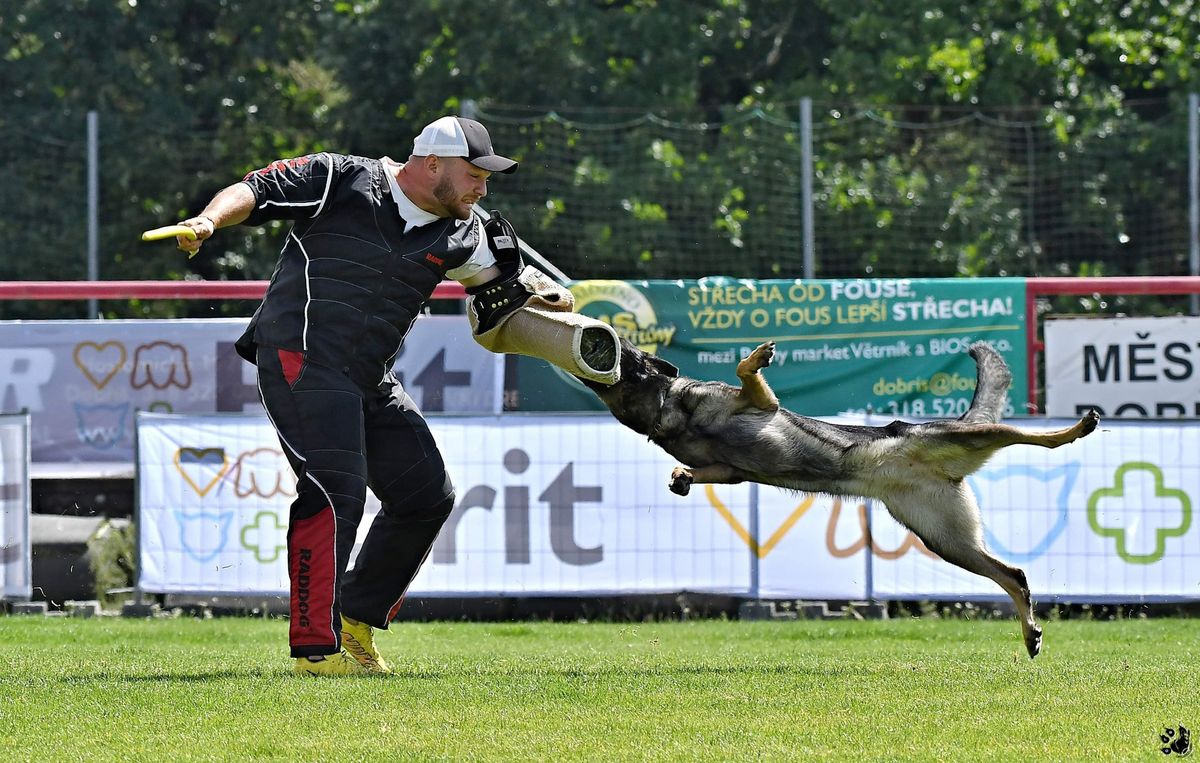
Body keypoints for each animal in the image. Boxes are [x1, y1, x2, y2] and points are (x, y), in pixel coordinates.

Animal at [580, 335, 1099, 657]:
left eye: (630, 352)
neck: (669, 410)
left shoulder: (761, 405)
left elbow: (745, 370)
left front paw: (757, 356)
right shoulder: (729, 472)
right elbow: (699, 470)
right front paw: (680, 477)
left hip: (969, 444)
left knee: (1030, 438)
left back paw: (1075, 428)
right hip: (948, 540)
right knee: (1014, 575)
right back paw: (1030, 634)